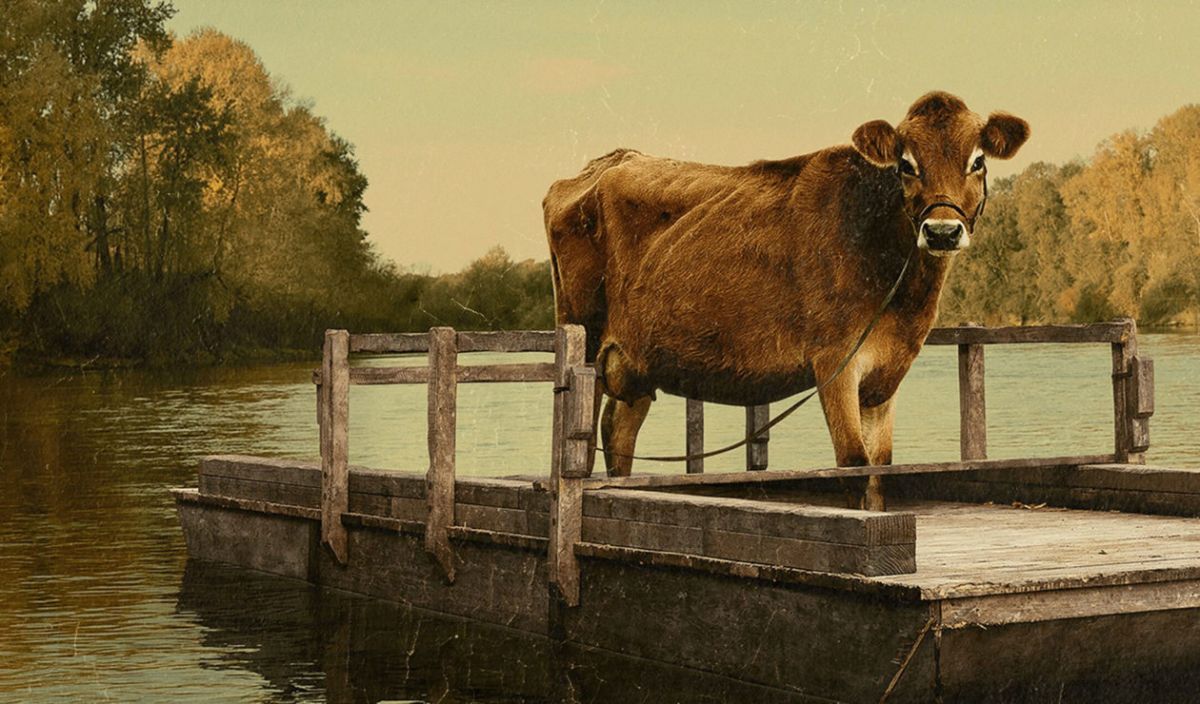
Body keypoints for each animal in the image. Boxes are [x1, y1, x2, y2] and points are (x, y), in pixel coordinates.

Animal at [543, 92, 1029, 510]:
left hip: (638, 360)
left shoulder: (886, 374)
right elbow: (853, 465)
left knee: (618, 432)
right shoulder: (835, 361)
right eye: (906, 164)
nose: (942, 231)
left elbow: (880, 470)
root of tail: (606, 163)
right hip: (585, 338)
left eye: (977, 161)